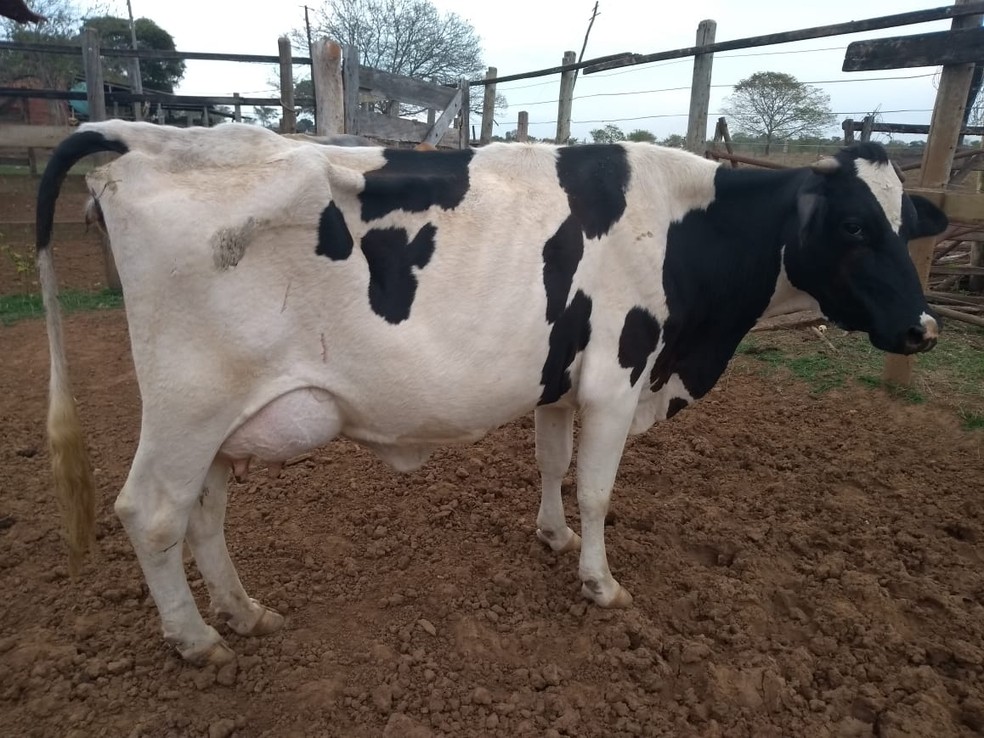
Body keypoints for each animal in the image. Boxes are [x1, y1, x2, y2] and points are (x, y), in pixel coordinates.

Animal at [35, 120, 947, 665]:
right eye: (855, 226)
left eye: (905, 224)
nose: (924, 329)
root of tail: (153, 138)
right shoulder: (617, 377)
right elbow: (598, 487)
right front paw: (599, 582)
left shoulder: (560, 378)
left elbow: (550, 463)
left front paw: (550, 535)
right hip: (188, 403)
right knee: (152, 512)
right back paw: (196, 640)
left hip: (228, 418)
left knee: (205, 513)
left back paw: (244, 611)